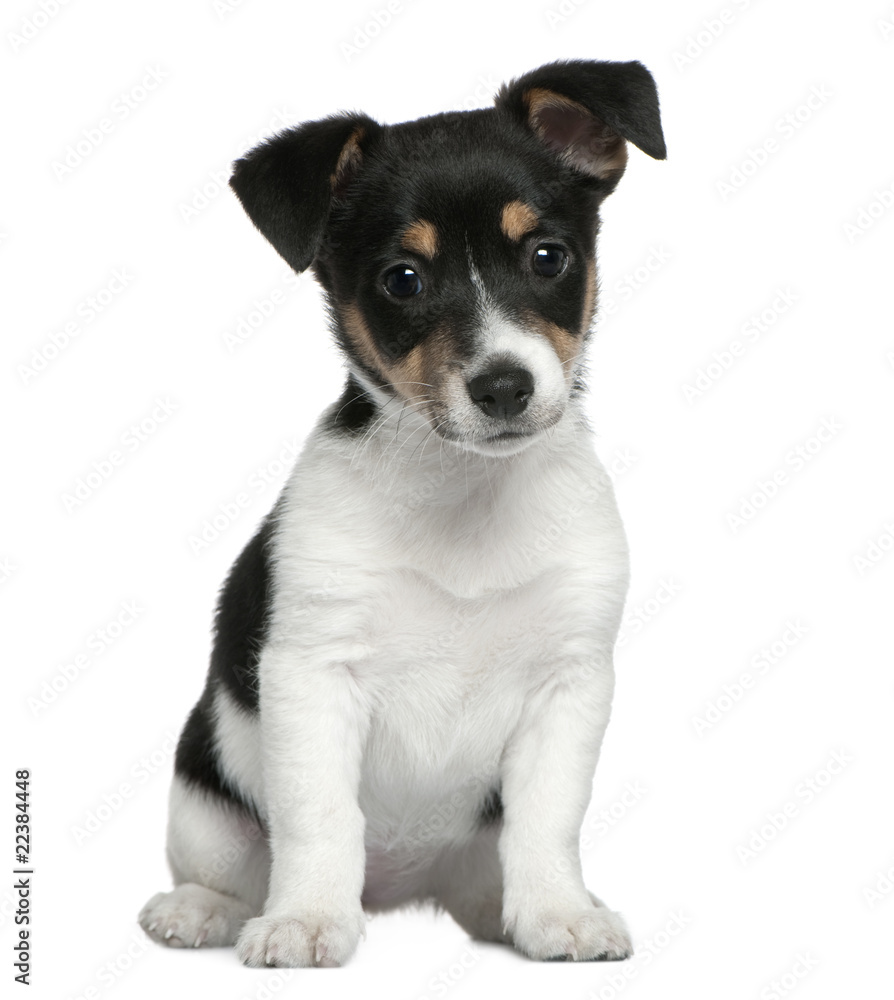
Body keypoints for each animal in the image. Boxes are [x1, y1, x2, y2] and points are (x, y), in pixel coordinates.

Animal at [138, 58, 664, 964]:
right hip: (204, 790)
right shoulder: (311, 676)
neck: (462, 491)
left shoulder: (569, 686)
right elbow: (319, 818)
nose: (503, 386)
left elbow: (548, 822)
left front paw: (558, 913)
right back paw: (204, 910)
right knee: (230, 870)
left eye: (548, 256)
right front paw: (310, 918)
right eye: (403, 280)